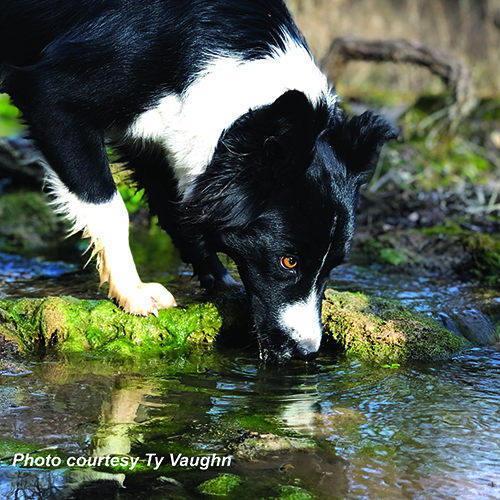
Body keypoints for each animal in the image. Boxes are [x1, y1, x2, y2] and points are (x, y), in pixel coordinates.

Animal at [0, 0, 398, 360]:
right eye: (288, 262)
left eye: (333, 265)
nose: (306, 353)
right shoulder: (53, 95)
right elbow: (111, 207)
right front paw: (135, 293)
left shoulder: (161, 137)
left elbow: (178, 207)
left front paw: (220, 284)